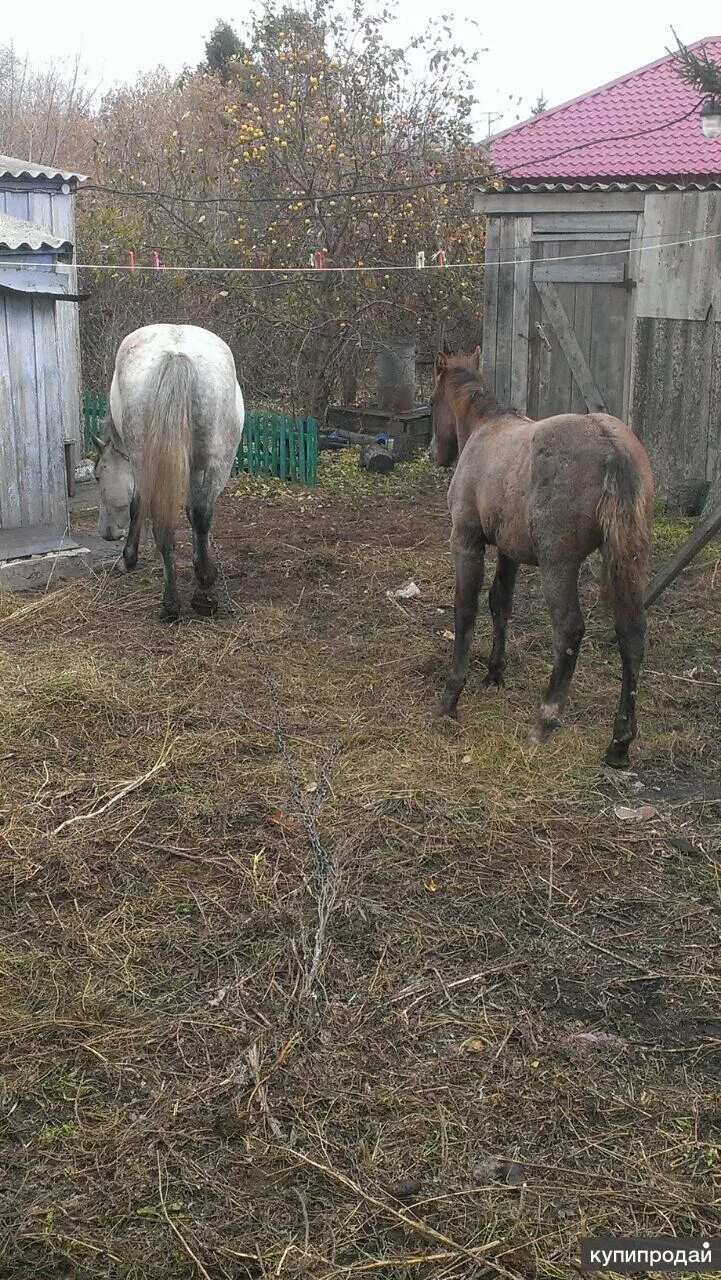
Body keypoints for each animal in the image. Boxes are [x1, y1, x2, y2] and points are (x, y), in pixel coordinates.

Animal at [94, 322, 242, 616]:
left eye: (98, 476)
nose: (106, 533)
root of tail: (176, 354)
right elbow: (193, 515)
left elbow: (140, 508)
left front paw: (128, 559)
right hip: (218, 462)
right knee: (199, 513)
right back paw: (199, 591)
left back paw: (176, 600)